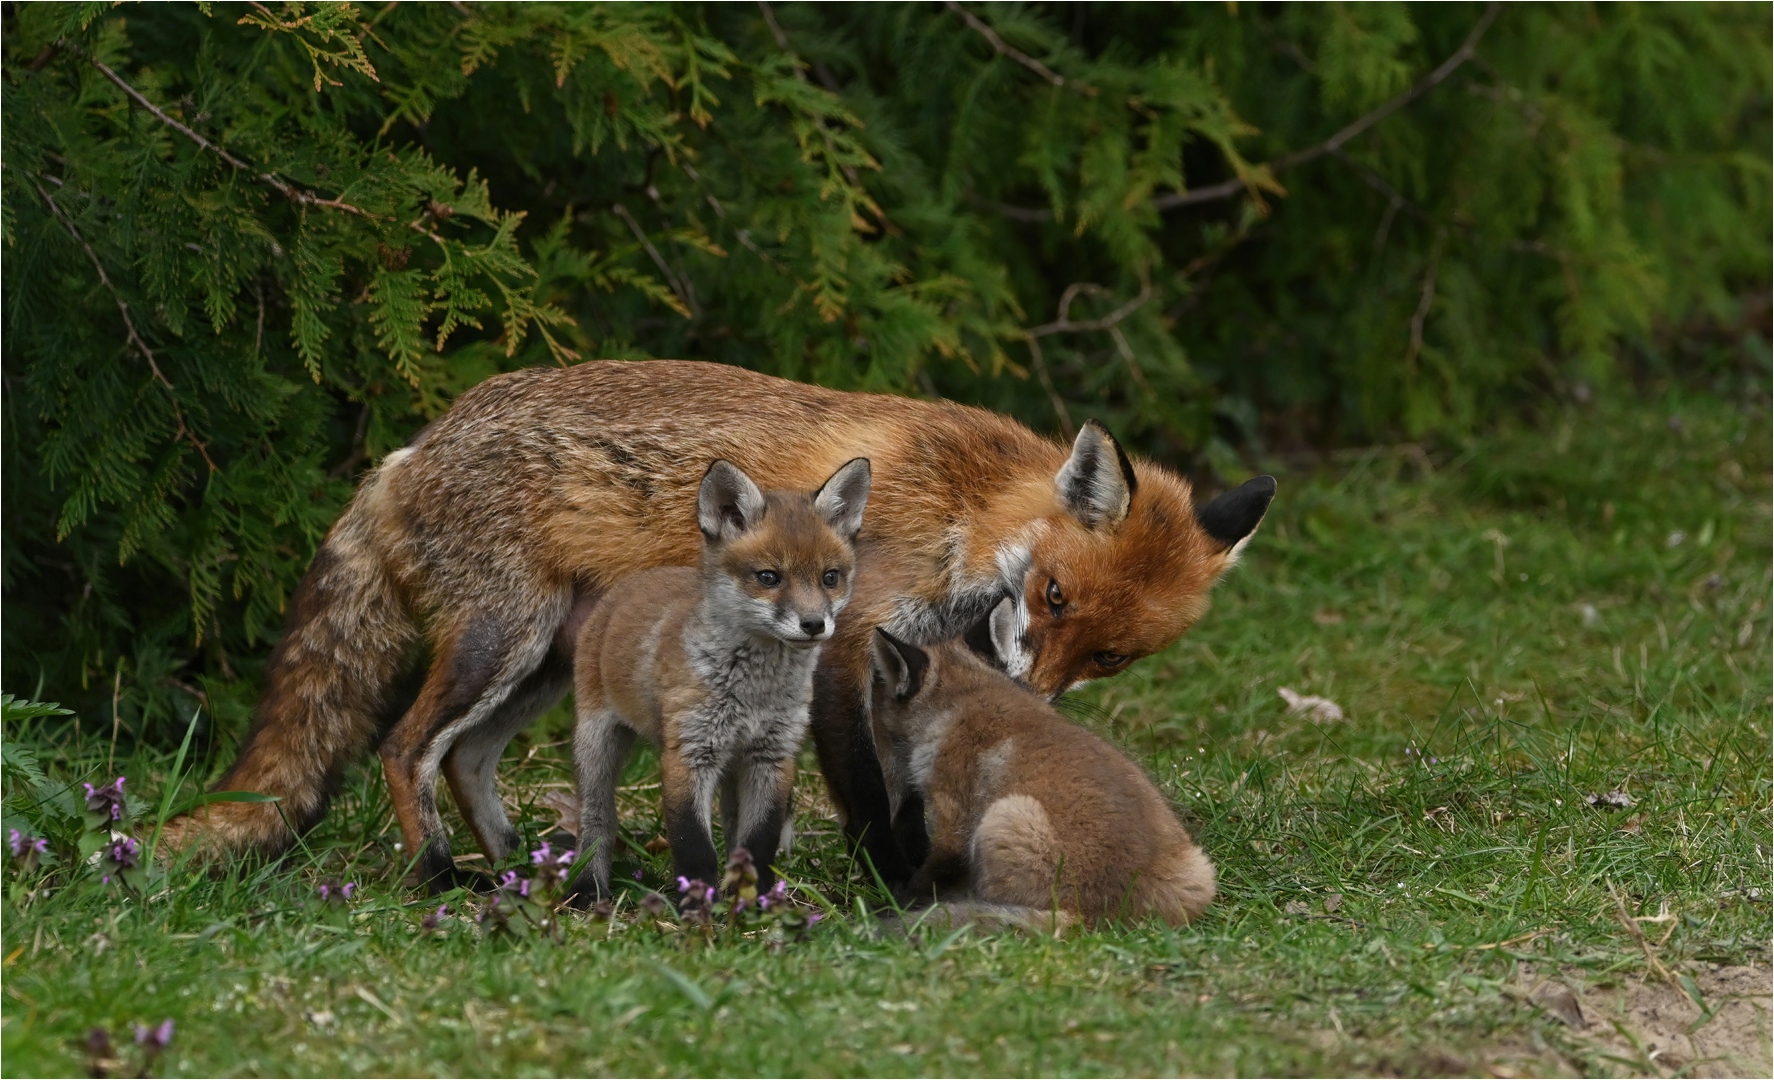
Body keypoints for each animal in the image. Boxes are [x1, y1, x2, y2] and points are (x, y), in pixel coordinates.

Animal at [163, 358, 1277, 890]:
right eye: (1052, 597)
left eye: (1109, 654)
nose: (1034, 694)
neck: (964, 507)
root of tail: (408, 450)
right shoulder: (848, 645)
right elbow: (868, 798)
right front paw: (891, 888)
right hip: (502, 637)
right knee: (403, 748)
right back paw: (440, 879)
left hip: (546, 661)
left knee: (465, 757)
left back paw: (526, 869)